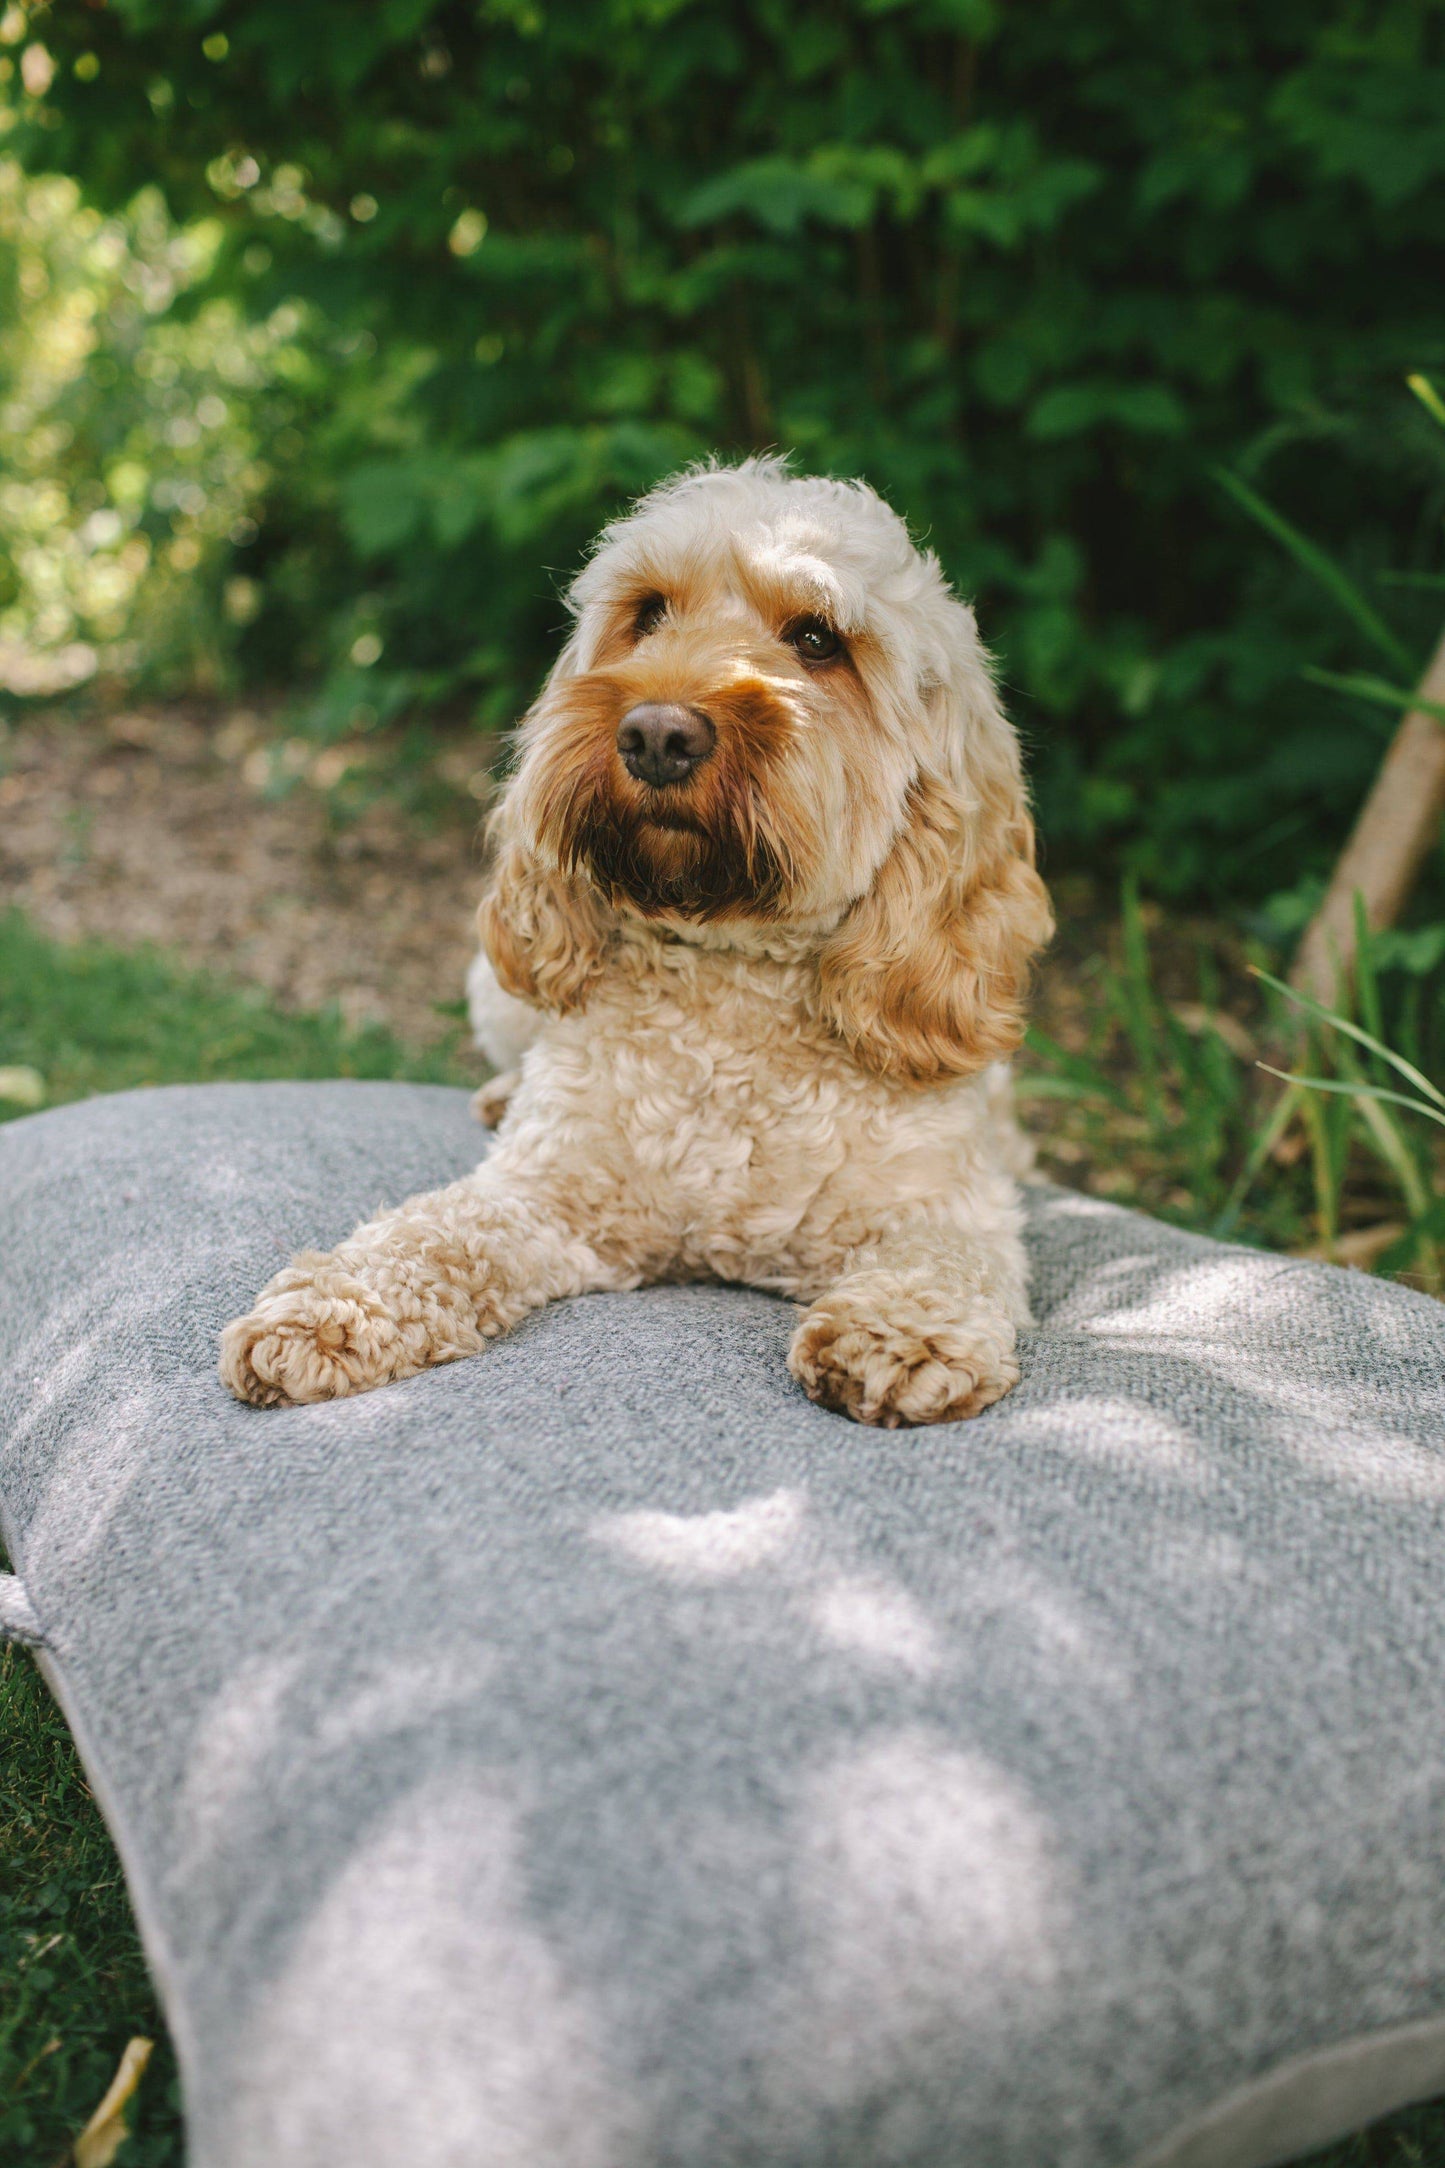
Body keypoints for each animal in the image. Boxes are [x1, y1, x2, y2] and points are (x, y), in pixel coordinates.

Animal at [223, 457, 1052, 1422]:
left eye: (817, 640)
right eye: (647, 612)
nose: (657, 733)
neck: (730, 978)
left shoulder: (946, 1205)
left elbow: (946, 1261)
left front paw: (899, 1331)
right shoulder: (544, 1194)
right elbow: (431, 1232)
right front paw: (334, 1301)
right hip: (495, 989)